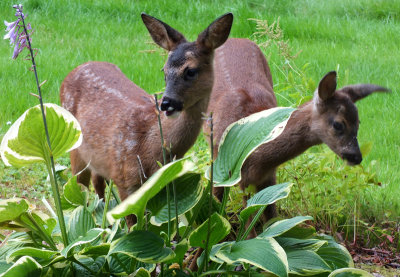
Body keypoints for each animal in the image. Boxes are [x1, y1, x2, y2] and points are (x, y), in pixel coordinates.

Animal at [60, 12, 233, 224]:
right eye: (164, 71)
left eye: (191, 71)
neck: (150, 146)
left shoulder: (164, 180)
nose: (166, 103)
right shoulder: (125, 178)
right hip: (74, 145)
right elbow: (133, 224)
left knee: (97, 182)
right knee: (80, 187)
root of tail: (73, 70)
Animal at [208, 37, 390, 221]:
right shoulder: (231, 172)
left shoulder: (268, 177)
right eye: (338, 124)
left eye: (358, 122)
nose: (356, 156)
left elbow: (271, 220)